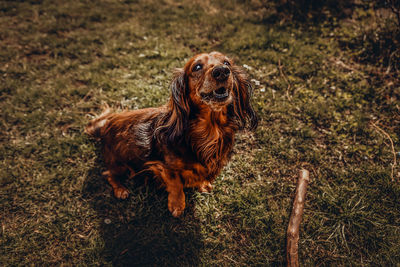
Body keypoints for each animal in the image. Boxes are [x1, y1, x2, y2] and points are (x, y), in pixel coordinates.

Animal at [86, 51, 258, 218]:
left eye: (227, 62)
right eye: (197, 67)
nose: (222, 71)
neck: (209, 130)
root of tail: (105, 126)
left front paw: (203, 185)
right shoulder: (165, 167)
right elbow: (176, 185)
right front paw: (177, 205)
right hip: (120, 163)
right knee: (108, 174)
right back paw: (120, 189)